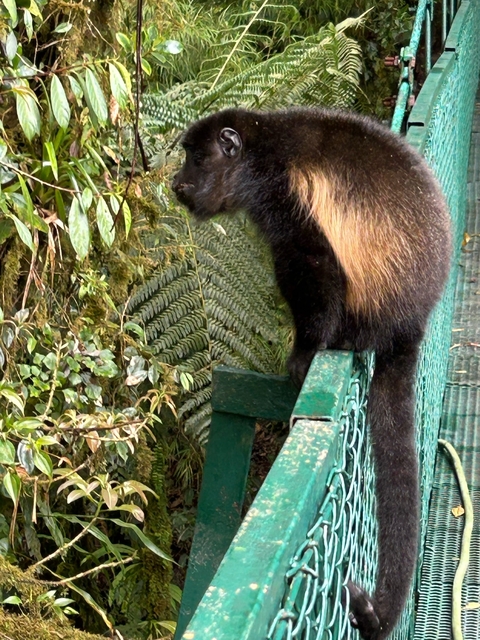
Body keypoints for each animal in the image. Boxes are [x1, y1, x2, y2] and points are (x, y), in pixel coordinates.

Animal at [171, 107, 451, 640]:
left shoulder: (282, 192)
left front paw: (305, 350)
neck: (261, 148)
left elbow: (313, 262)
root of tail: (412, 322)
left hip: (366, 315)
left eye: (196, 158)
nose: (177, 182)